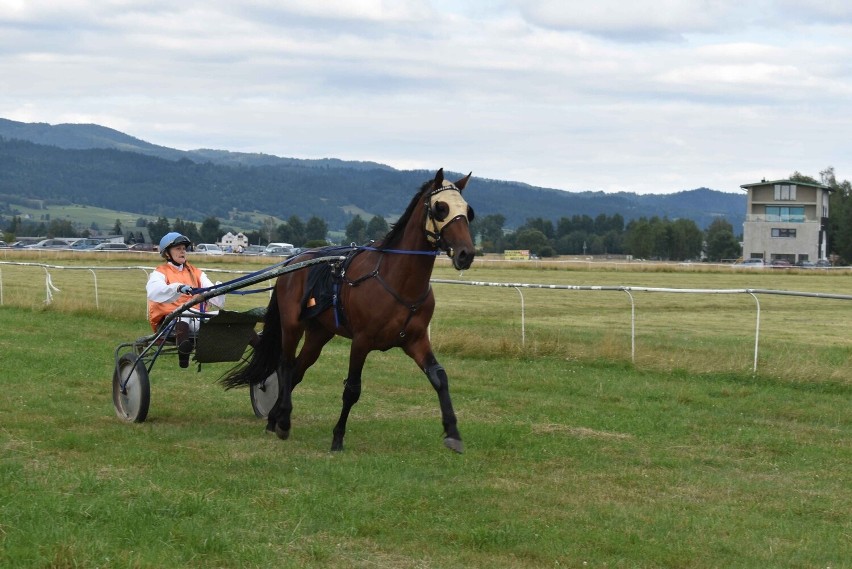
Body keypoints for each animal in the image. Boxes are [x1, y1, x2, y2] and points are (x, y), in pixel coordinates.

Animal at [220, 169, 476, 452]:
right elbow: (352, 389)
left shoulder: (416, 340)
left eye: (468, 210)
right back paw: (283, 420)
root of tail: (294, 262)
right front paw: (337, 437)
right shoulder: (362, 341)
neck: (397, 280)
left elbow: (439, 377)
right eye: (441, 208)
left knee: (297, 370)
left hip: (319, 332)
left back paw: (274, 418)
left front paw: (453, 432)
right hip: (292, 324)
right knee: (285, 366)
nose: (466, 253)